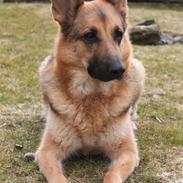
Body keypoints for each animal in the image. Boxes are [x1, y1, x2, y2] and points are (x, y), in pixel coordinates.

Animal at [35, 0, 145, 182]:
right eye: (90, 35)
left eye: (118, 34)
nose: (120, 70)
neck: (92, 96)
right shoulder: (47, 152)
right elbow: (58, 177)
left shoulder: (127, 152)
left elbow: (112, 174)